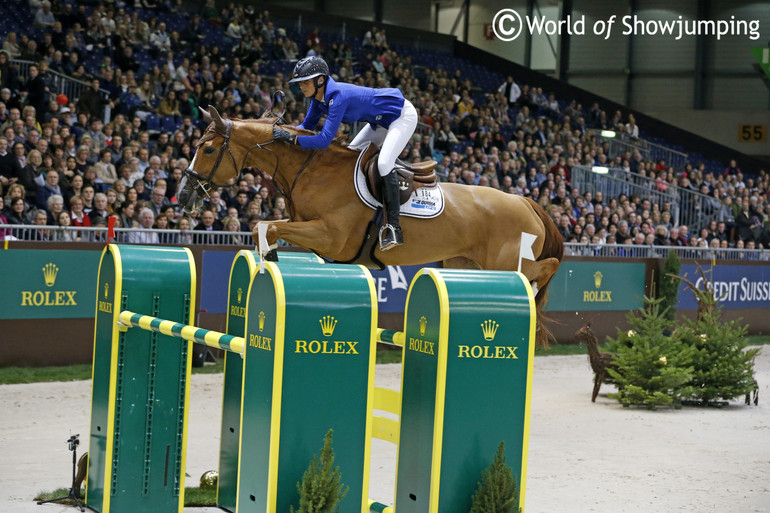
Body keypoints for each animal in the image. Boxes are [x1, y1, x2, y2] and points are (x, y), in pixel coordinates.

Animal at [180, 105, 564, 344]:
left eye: (209, 150)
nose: (184, 196)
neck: (312, 171)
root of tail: (526, 201)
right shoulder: (310, 229)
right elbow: (267, 225)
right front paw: (269, 258)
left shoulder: (331, 237)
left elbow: (267, 226)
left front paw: (267, 256)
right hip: (467, 265)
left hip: (508, 259)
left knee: (547, 266)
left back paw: (532, 292)